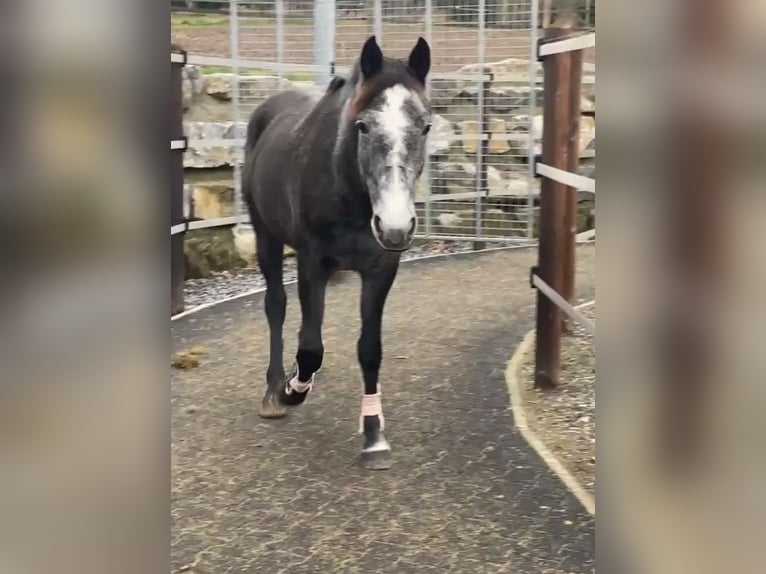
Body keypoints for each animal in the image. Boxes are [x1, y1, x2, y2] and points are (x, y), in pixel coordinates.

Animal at [240, 33, 432, 470]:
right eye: (362, 126)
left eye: (425, 126)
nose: (395, 225)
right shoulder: (312, 262)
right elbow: (310, 348)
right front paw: (294, 388)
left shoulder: (382, 267)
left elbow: (370, 350)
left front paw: (374, 435)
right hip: (265, 236)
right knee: (276, 306)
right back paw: (275, 390)